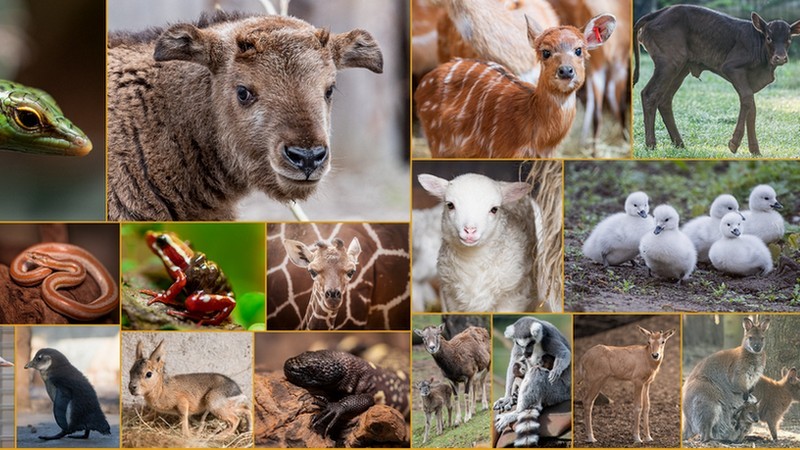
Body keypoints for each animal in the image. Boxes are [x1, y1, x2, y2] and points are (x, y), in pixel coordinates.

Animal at [418, 173, 536, 312]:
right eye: (450, 205)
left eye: (494, 209)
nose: (470, 230)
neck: (472, 260)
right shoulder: (451, 298)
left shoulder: (512, 298)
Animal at [636, 3, 800, 156]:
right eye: (769, 38)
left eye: (789, 39)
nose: (780, 58)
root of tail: (657, 14)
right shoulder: (731, 68)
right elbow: (747, 99)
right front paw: (734, 143)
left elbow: (752, 109)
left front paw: (755, 150)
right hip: (669, 63)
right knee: (649, 94)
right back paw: (651, 144)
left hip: (681, 67)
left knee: (665, 100)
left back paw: (679, 144)